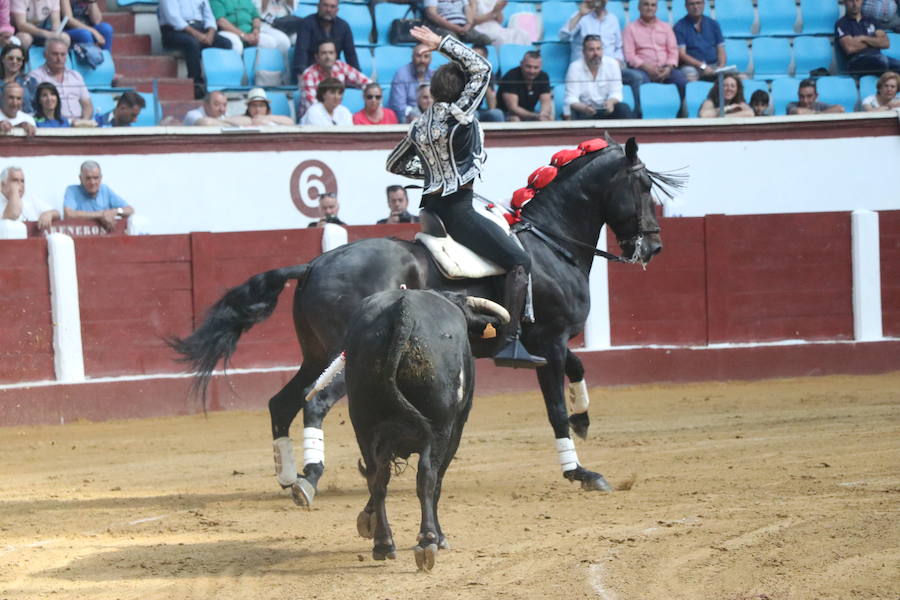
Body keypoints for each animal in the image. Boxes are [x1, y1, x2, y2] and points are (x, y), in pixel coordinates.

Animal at [169, 134, 680, 500]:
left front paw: (584, 418)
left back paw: (289, 477)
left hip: (315, 353)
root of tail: (314, 264)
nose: (654, 246)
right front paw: (580, 470)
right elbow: (554, 406)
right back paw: (310, 477)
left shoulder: (550, 344)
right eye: (643, 186)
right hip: (342, 357)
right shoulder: (549, 342)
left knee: (283, 402)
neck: (551, 242)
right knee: (313, 401)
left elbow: (579, 367)